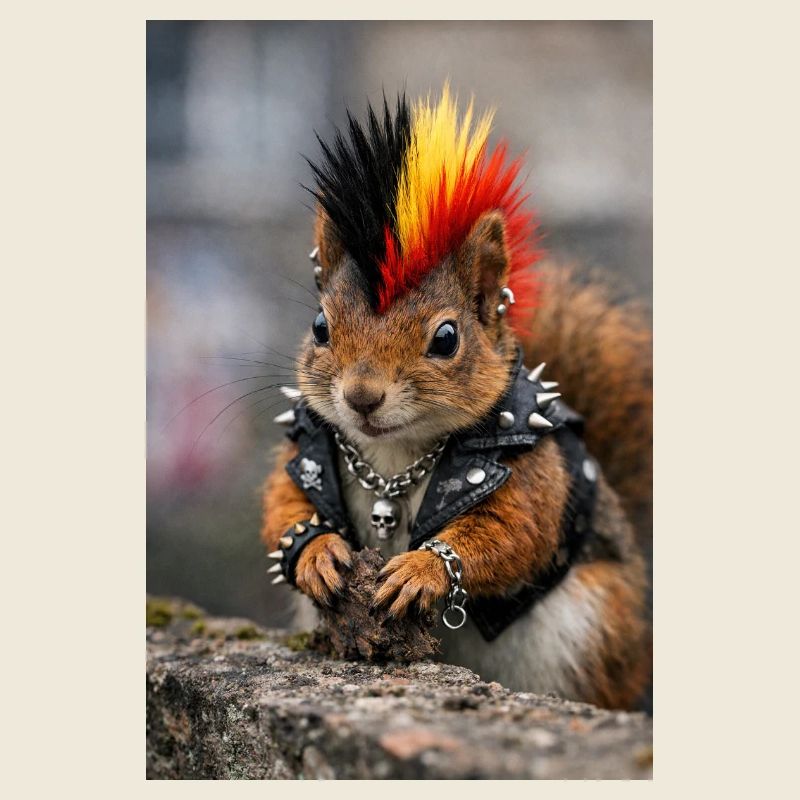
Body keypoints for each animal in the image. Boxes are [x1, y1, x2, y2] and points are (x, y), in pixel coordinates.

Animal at [261, 86, 652, 710]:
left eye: (446, 338)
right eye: (320, 326)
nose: (362, 396)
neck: (395, 457)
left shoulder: (531, 472)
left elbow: (511, 531)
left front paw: (423, 569)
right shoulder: (308, 443)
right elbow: (284, 503)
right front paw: (317, 551)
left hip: (591, 636)